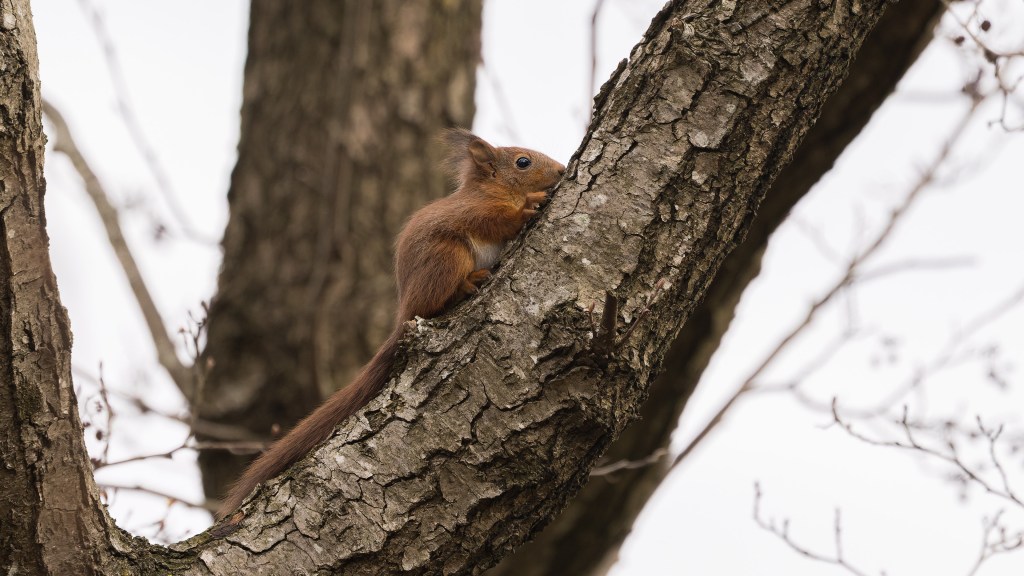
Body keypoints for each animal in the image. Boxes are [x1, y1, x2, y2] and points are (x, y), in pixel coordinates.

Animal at [218, 128, 565, 517]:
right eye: (523, 162)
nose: (562, 170)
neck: (496, 189)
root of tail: (404, 312)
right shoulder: (475, 210)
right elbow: (498, 220)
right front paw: (531, 202)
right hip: (447, 256)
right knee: (436, 300)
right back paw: (468, 283)